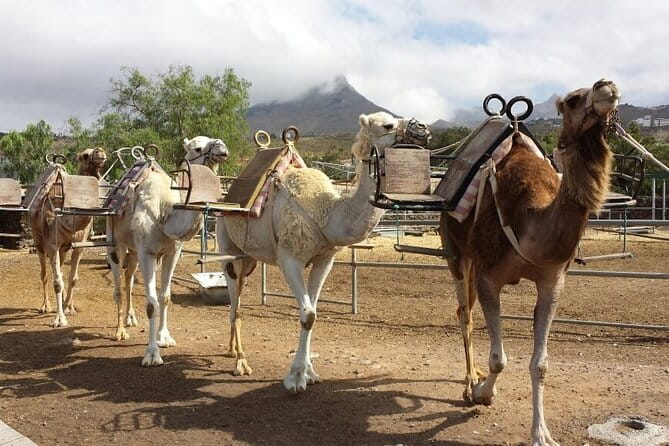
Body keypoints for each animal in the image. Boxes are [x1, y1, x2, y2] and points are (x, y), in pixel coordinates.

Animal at [31, 147, 107, 327]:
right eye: (84, 155)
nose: (99, 151)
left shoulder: (80, 244)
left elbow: (73, 278)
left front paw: (68, 308)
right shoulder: (52, 244)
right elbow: (57, 282)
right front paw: (59, 319)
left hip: (64, 248)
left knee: (61, 271)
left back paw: (68, 305)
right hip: (39, 242)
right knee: (44, 274)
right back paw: (45, 306)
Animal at [108, 136, 228, 366]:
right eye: (197, 148)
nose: (222, 148)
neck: (167, 211)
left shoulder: (172, 253)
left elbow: (164, 297)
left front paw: (164, 338)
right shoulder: (147, 252)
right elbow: (151, 304)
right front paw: (152, 355)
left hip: (134, 251)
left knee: (129, 279)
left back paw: (130, 319)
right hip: (116, 245)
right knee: (118, 286)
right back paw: (119, 331)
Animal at [216, 112, 411, 392]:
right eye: (388, 125)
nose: (423, 129)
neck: (327, 212)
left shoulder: (324, 260)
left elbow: (315, 313)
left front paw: (309, 372)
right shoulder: (289, 258)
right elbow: (307, 315)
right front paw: (295, 378)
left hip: (249, 258)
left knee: (238, 297)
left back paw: (232, 350)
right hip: (227, 247)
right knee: (235, 304)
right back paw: (240, 362)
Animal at [440, 79, 619, 446]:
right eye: (573, 100)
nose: (606, 87)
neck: (531, 217)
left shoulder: (552, 282)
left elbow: (540, 364)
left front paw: (541, 433)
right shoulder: (489, 277)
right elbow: (499, 359)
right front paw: (483, 393)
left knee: (465, 310)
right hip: (457, 253)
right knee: (464, 313)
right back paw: (468, 381)